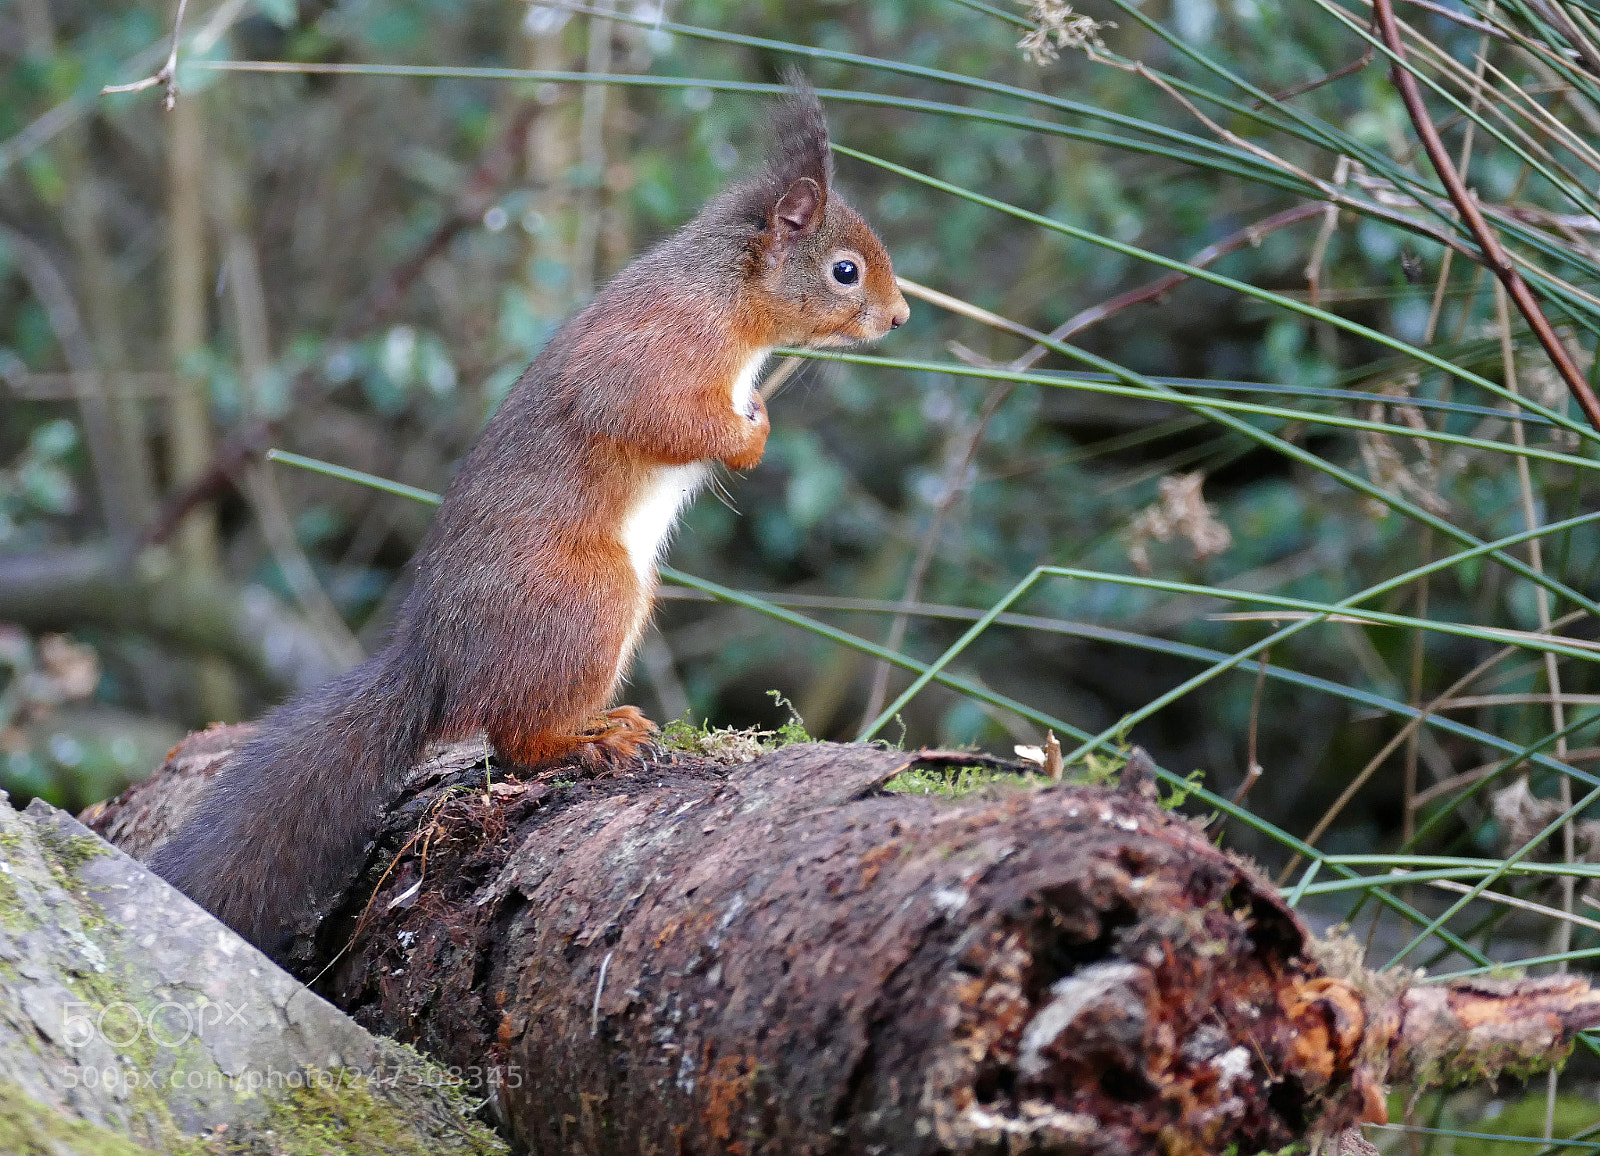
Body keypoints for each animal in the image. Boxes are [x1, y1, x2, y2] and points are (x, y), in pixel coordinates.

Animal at [147, 74, 910, 959]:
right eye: (845, 271)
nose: (901, 319)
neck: (727, 291)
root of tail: (437, 662)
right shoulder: (655, 354)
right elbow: (656, 417)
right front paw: (748, 437)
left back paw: (605, 719)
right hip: (590, 596)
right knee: (515, 741)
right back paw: (592, 742)